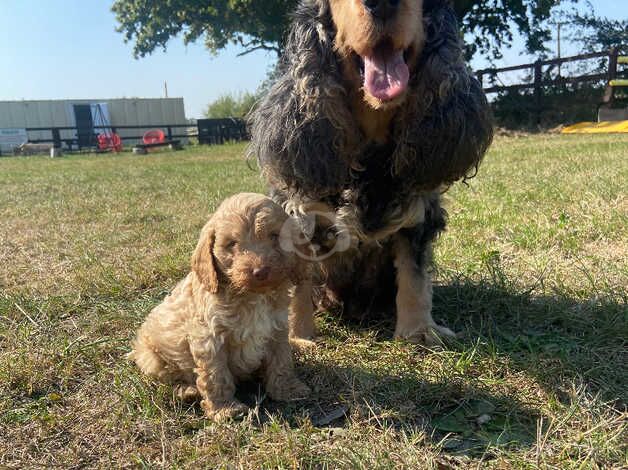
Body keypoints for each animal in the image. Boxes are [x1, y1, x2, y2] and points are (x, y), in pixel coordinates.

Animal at [129, 193, 310, 420]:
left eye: (274, 236)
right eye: (232, 243)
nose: (260, 271)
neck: (251, 296)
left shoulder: (277, 328)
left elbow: (281, 361)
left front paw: (288, 389)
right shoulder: (209, 338)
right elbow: (216, 375)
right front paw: (226, 409)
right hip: (150, 356)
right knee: (168, 376)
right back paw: (186, 390)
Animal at [248, 0, 494, 346]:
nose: (383, 3)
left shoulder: (418, 213)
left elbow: (415, 277)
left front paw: (418, 332)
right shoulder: (298, 214)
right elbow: (297, 287)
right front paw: (297, 337)